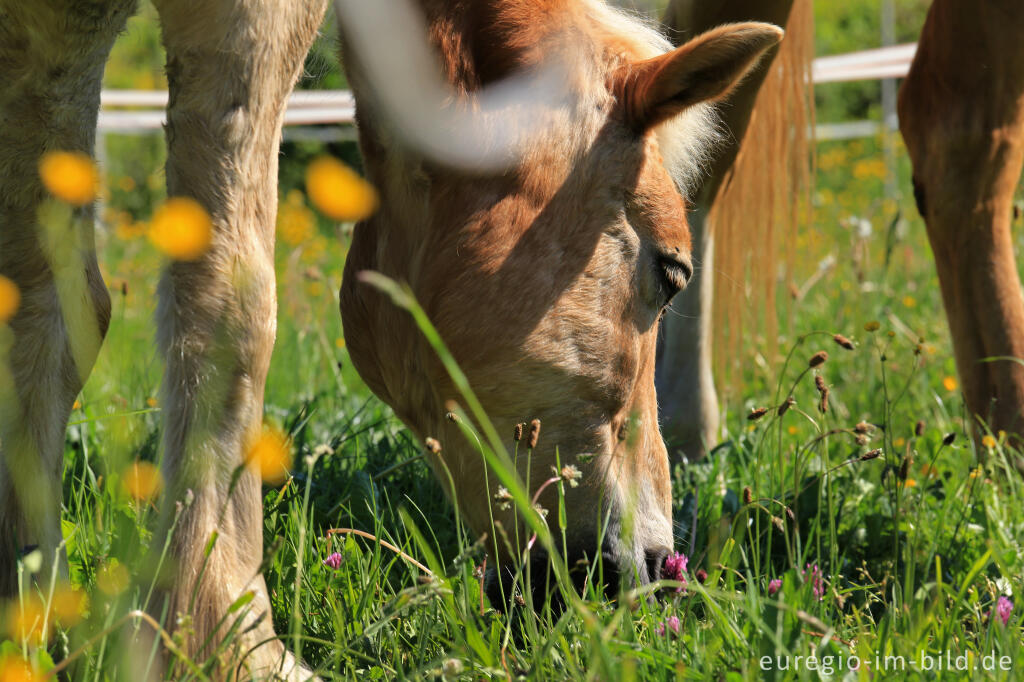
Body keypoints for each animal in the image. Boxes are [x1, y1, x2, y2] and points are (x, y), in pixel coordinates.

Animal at [0, 0, 774, 675]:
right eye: (670, 273)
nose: (660, 569)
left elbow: (49, 307)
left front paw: (31, 618)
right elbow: (225, 304)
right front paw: (232, 644)